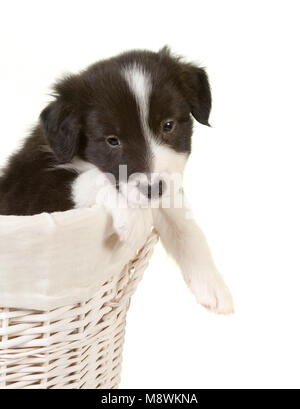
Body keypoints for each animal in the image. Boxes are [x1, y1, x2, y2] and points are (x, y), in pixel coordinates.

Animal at [0, 48, 234, 316]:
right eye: (113, 140)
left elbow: (183, 225)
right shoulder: (28, 194)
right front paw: (132, 216)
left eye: (168, 125)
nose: (153, 188)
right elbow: (87, 177)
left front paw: (212, 284)